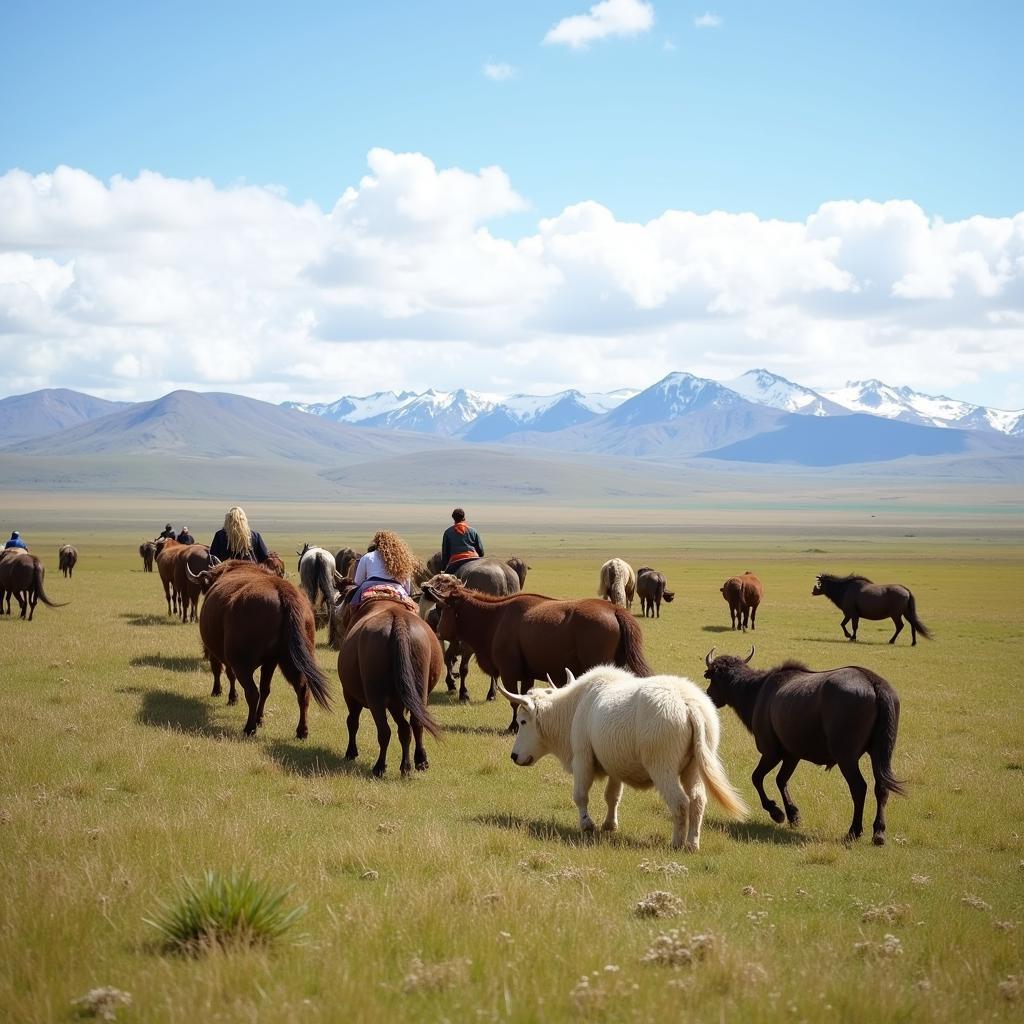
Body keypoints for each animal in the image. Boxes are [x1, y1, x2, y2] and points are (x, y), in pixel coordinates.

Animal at [337, 593, 442, 774]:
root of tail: (398, 619)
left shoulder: (349, 694)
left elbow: (352, 721)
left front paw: (351, 752)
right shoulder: (397, 702)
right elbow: (406, 728)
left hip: (375, 696)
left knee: (384, 731)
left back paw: (380, 766)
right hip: (416, 692)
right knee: (414, 725)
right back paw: (415, 762)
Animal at [421, 577, 651, 737]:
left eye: (441, 607)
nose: (438, 631)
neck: (497, 617)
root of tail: (614, 610)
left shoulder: (509, 673)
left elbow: (514, 700)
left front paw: (513, 726)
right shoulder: (527, 676)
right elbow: (524, 699)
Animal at [704, 647, 905, 847]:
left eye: (712, 677)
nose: (707, 697)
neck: (757, 692)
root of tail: (873, 682)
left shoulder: (771, 752)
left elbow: (757, 777)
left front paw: (776, 812)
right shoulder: (792, 755)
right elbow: (781, 780)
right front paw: (793, 814)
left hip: (846, 757)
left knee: (859, 787)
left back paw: (854, 831)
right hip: (881, 752)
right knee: (881, 787)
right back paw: (879, 832)